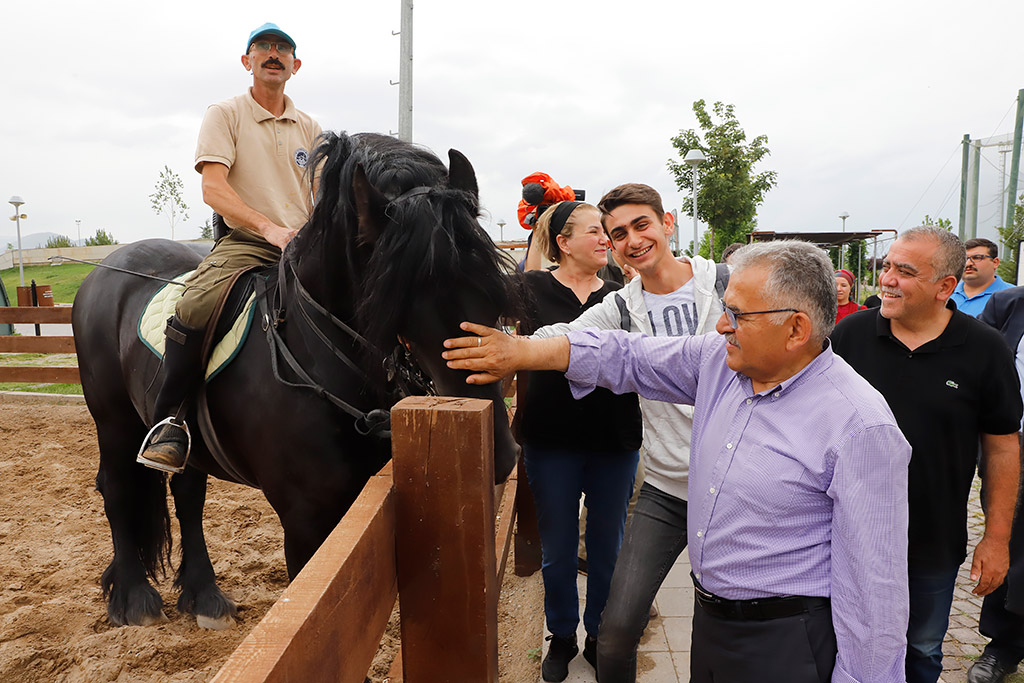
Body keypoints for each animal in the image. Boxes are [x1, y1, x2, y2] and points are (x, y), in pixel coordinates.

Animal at [74, 131, 520, 626]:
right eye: (395, 298)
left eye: (492, 287)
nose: (497, 452)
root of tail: (108, 267)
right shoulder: (307, 520)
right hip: (113, 419)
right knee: (116, 488)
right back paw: (134, 598)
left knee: (188, 492)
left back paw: (204, 594)